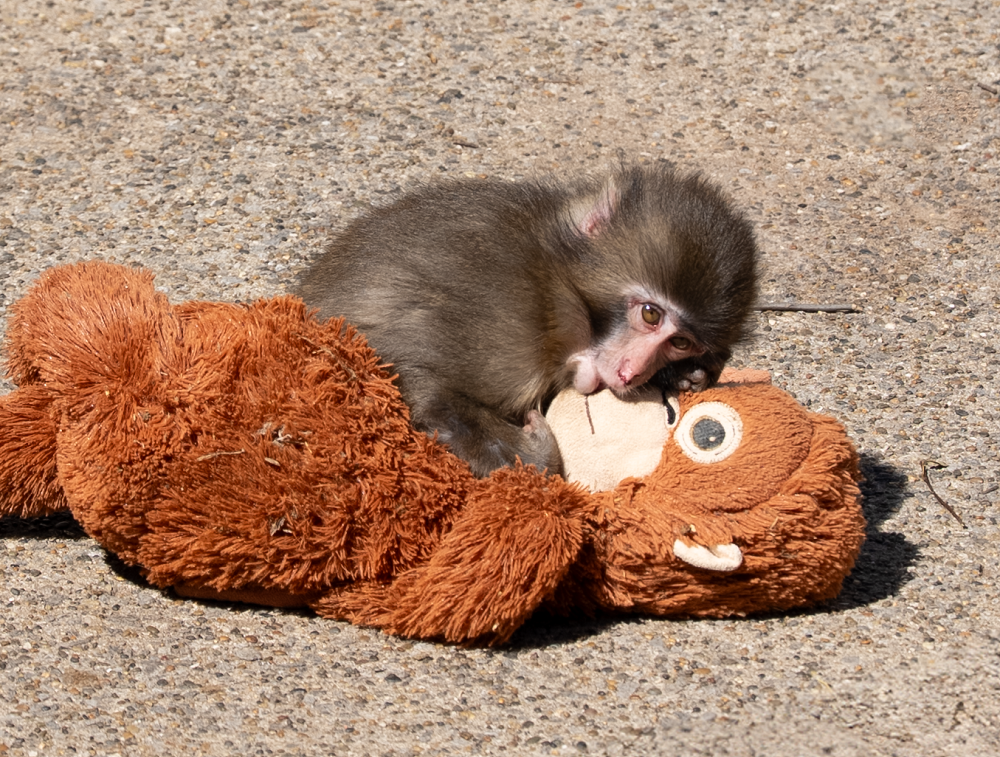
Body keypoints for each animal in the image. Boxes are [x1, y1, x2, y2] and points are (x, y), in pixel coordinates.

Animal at [295, 161, 758, 478]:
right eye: (650, 314)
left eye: (680, 343)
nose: (633, 372)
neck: (555, 283)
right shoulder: (506, 321)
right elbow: (413, 376)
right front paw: (537, 453)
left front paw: (685, 375)